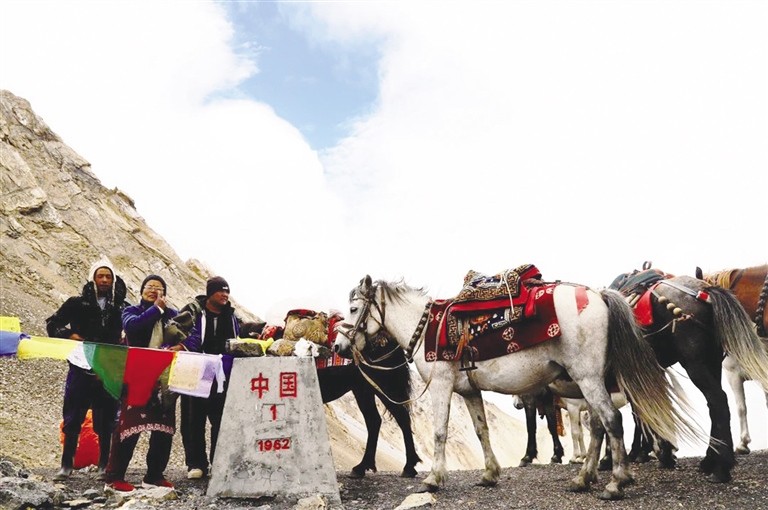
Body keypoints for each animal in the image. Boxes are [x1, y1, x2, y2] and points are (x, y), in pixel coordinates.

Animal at [317, 334, 421, 478]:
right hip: (364, 389)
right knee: (375, 420)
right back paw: (362, 467)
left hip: (383, 387)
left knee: (401, 418)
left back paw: (408, 466)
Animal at [334, 272, 702, 500]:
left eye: (353, 308)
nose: (339, 347)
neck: (426, 328)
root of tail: (597, 295)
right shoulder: (469, 391)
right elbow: (482, 430)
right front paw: (490, 474)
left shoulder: (441, 385)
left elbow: (439, 432)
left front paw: (432, 479)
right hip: (589, 382)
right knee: (600, 425)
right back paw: (583, 478)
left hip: (588, 378)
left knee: (611, 421)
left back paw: (615, 483)